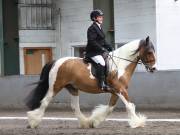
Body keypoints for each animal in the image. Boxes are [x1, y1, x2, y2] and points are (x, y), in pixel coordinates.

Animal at [25, 35, 156, 129]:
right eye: (149, 52)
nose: (154, 68)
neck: (120, 65)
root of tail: (56, 61)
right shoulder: (120, 89)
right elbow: (130, 105)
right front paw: (138, 122)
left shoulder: (115, 91)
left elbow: (110, 108)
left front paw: (95, 121)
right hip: (55, 87)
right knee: (44, 102)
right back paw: (33, 122)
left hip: (72, 88)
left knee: (75, 106)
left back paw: (85, 123)